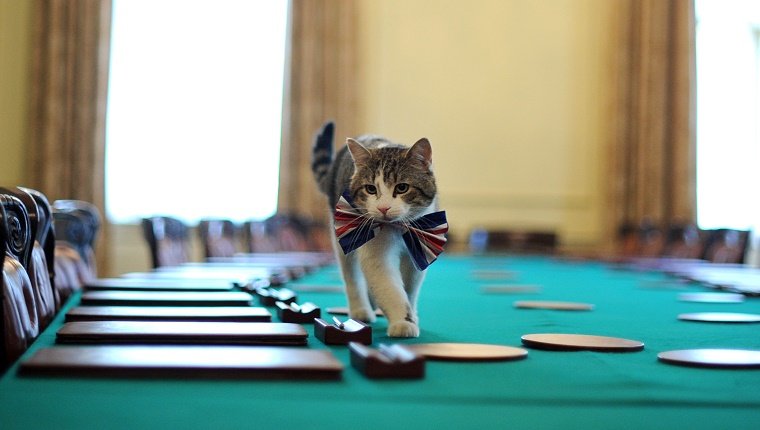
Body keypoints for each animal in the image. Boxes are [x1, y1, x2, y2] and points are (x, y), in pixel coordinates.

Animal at [310, 122, 446, 340]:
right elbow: (389, 287)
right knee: (352, 276)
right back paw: (361, 310)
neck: (398, 229)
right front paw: (402, 321)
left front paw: (411, 316)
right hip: (343, 234)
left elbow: (409, 288)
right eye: (371, 189)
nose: (383, 208)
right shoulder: (374, 251)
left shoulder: (418, 246)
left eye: (402, 187)